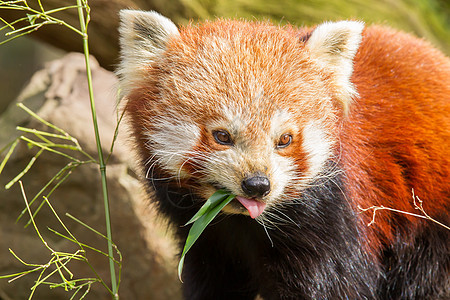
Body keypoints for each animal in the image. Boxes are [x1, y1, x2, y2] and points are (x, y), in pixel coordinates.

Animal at [118, 9, 450, 300]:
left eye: (285, 139)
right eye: (222, 136)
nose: (257, 184)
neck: (244, 223)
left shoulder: (336, 219)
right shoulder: (207, 241)